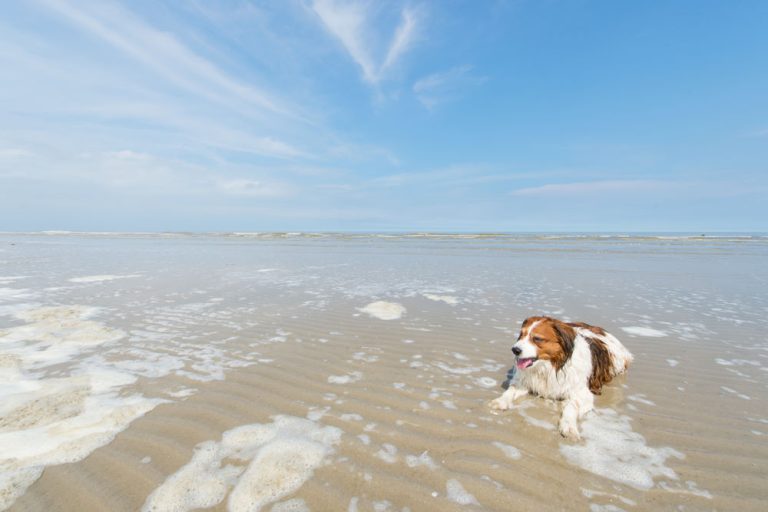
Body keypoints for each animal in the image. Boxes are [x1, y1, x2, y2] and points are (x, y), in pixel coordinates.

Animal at [488, 316, 632, 440]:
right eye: (521, 335)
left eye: (537, 339)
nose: (515, 350)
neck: (550, 367)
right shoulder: (523, 382)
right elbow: (510, 391)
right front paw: (499, 401)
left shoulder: (583, 394)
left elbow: (571, 406)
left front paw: (569, 427)